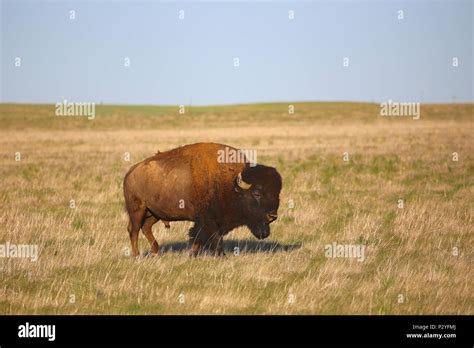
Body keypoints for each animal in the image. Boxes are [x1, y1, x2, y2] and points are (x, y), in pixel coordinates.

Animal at [124, 143, 284, 256]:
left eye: (277, 193)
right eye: (257, 193)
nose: (272, 216)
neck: (231, 183)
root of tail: (131, 171)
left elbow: (198, 238)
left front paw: (192, 255)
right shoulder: (209, 221)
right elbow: (211, 238)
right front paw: (221, 255)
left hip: (154, 213)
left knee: (146, 228)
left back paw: (155, 252)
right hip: (137, 211)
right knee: (134, 230)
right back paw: (136, 255)